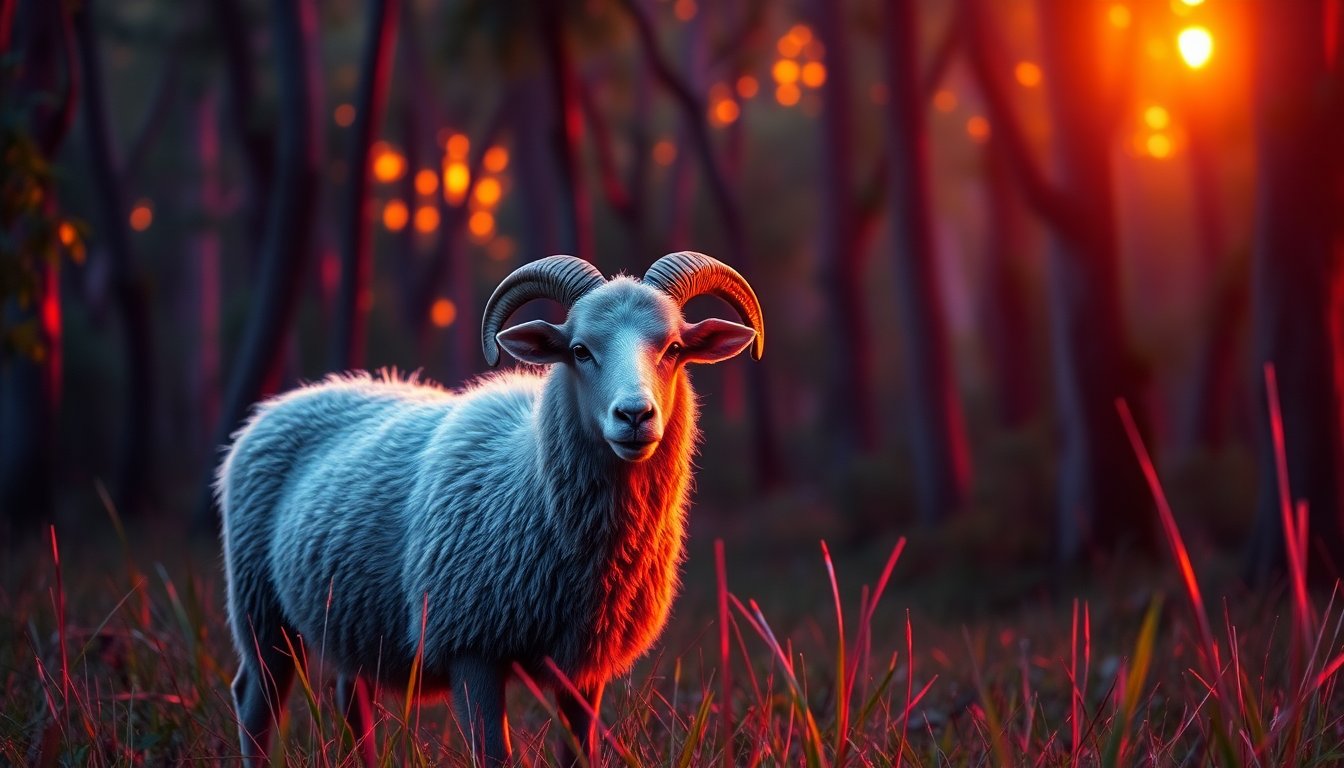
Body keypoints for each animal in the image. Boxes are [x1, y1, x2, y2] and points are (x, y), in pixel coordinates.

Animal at [217, 252, 765, 765]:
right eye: (579, 351)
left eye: (673, 349)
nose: (634, 415)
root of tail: (282, 403)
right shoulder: (470, 649)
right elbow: (493, 754)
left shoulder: (584, 667)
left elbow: (580, 753)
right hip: (260, 609)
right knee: (254, 702)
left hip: (354, 620)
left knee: (352, 701)